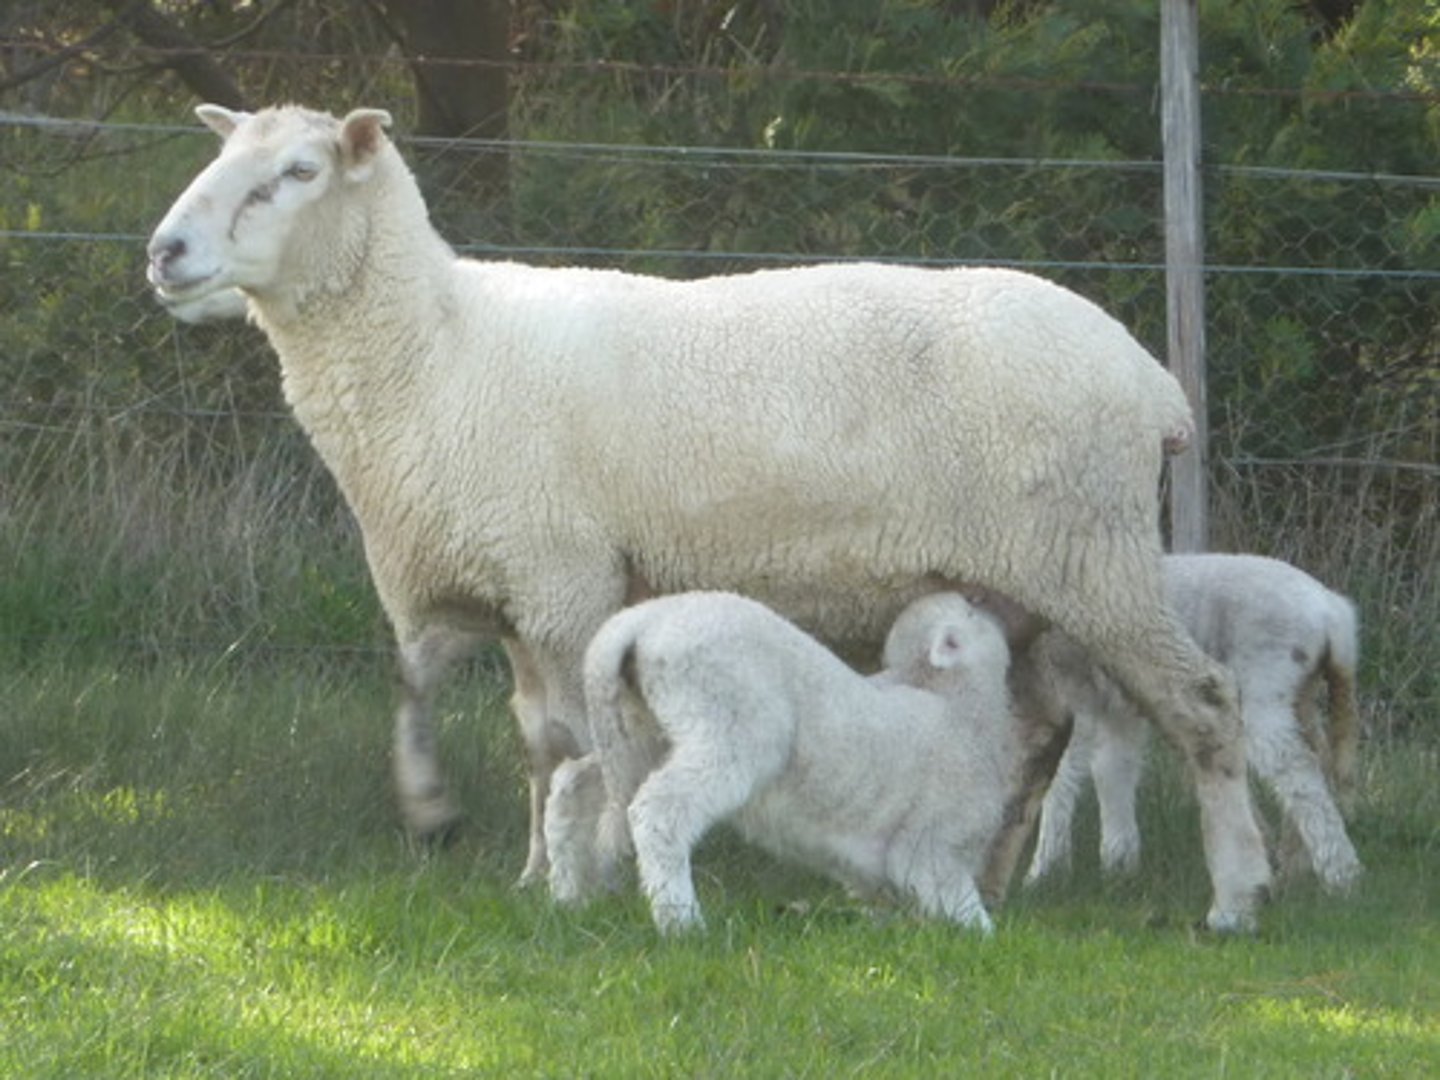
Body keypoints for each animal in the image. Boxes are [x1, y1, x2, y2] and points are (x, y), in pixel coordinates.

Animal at [547, 591, 1016, 934]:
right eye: (969, 610)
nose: (988, 599)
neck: (960, 707)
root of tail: (639, 622)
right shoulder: (934, 842)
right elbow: (954, 899)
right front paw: (984, 937)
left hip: (635, 730)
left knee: (574, 781)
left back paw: (569, 895)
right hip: (730, 723)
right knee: (659, 809)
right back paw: (681, 922)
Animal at [1025, 553, 1362, 893]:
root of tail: (1332, 611)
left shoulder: (1073, 692)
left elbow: (1060, 778)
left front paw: (1043, 871)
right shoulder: (1116, 708)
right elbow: (1113, 770)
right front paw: (1119, 864)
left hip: (1265, 682)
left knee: (1298, 770)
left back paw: (1341, 877)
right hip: (1300, 694)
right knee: (1318, 757)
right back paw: (1297, 866)